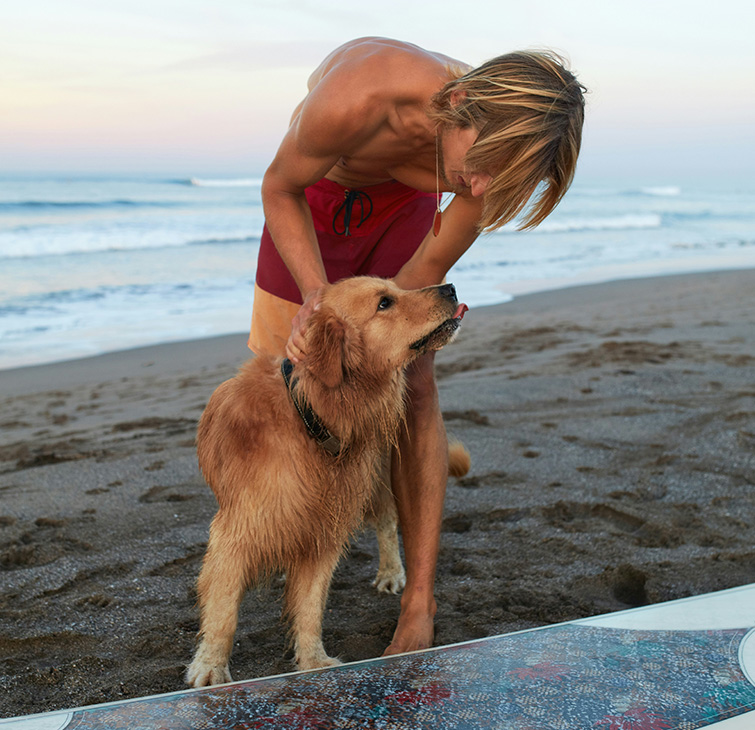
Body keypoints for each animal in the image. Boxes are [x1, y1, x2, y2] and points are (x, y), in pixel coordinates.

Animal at [184, 276, 470, 684]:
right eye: (384, 303)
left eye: (396, 289)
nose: (450, 288)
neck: (311, 416)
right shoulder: (236, 532)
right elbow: (223, 608)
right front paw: (210, 666)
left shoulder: (324, 531)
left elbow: (310, 604)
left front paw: (313, 660)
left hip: (376, 477)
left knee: (387, 521)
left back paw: (391, 572)